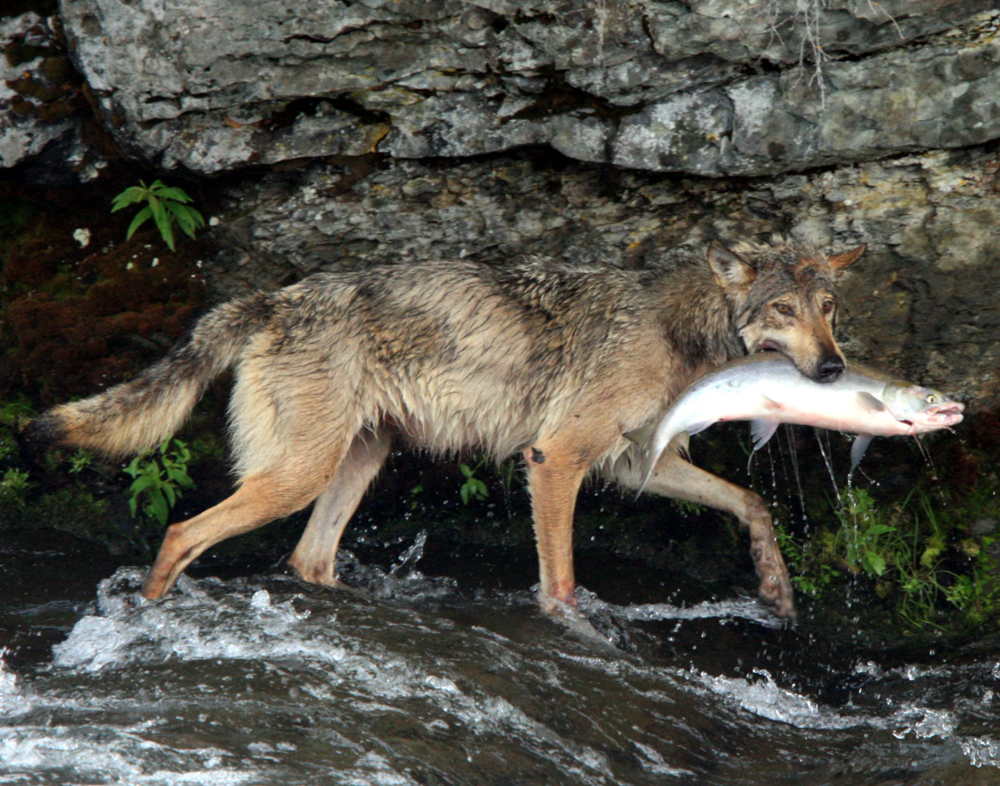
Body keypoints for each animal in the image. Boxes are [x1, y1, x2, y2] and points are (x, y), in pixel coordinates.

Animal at [27, 236, 864, 616]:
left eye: (829, 309)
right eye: (782, 310)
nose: (833, 370)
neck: (680, 329)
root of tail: (272, 298)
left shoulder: (637, 466)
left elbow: (751, 503)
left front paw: (775, 585)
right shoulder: (555, 460)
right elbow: (561, 583)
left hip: (353, 468)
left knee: (307, 559)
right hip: (294, 477)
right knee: (179, 532)